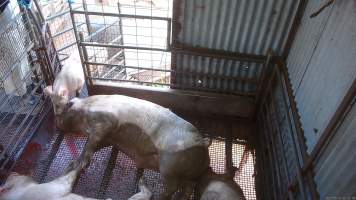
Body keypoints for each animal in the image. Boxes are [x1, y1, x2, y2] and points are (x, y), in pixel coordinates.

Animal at [55, 94, 211, 199]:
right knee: (188, 188)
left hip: (170, 166)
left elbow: (91, 143)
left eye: (62, 110)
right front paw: (72, 164)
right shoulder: (108, 138)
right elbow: (95, 144)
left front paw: (80, 164)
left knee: (171, 189)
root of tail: (203, 144)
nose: (57, 125)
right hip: (188, 174)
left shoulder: (105, 121)